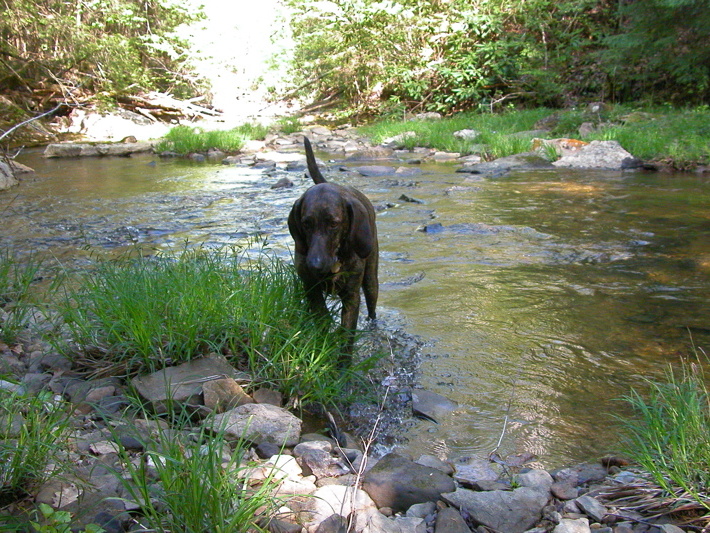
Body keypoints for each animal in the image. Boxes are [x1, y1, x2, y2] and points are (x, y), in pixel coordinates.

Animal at [288, 137, 382, 356]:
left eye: (334, 224)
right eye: (306, 223)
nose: (315, 265)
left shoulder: (351, 296)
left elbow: (347, 336)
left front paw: (343, 363)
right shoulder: (311, 289)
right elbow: (322, 319)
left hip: (371, 280)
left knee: (372, 307)